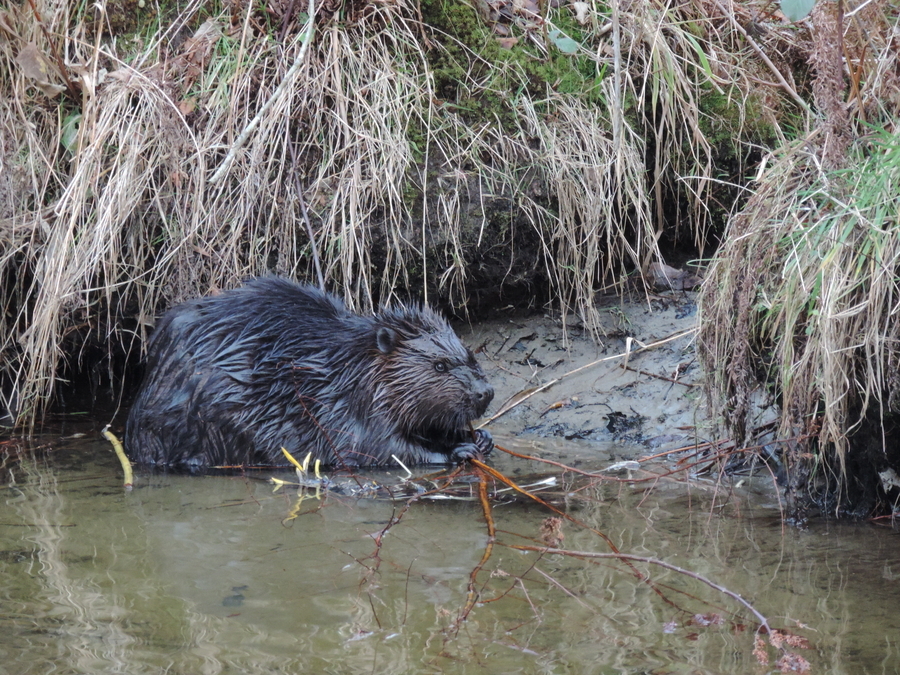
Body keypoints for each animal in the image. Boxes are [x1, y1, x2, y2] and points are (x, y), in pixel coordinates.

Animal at [124, 278, 496, 472]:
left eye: (469, 354)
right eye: (440, 365)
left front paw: (481, 438)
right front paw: (459, 451)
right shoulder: (345, 409)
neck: (349, 368)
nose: (485, 392)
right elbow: (377, 450)